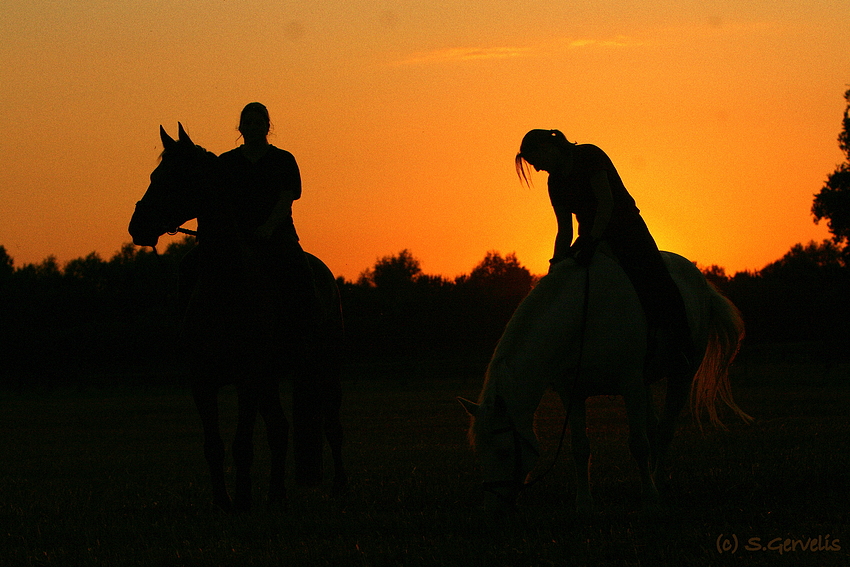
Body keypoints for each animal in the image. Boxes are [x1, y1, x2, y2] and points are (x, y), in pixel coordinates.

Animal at [126, 125, 344, 516]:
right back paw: (276, 495)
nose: (139, 226)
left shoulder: (247, 379)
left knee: (332, 426)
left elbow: (242, 443)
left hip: (325, 369)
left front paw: (242, 501)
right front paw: (223, 501)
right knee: (280, 429)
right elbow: (214, 445)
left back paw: (338, 489)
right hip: (271, 379)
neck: (228, 284)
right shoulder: (203, 381)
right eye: (154, 175)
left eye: (178, 176)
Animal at [458, 247, 748, 516]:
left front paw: (650, 499)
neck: (584, 318)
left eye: (504, 451)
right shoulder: (572, 393)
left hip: (683, 373)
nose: (493, 510)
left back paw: (659, 483)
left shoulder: (630, 385)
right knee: (654, 427)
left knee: (665, 429)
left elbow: (638, 444)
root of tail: (701, 282)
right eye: (479, 451)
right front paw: (584, 503)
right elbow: (580, 447)